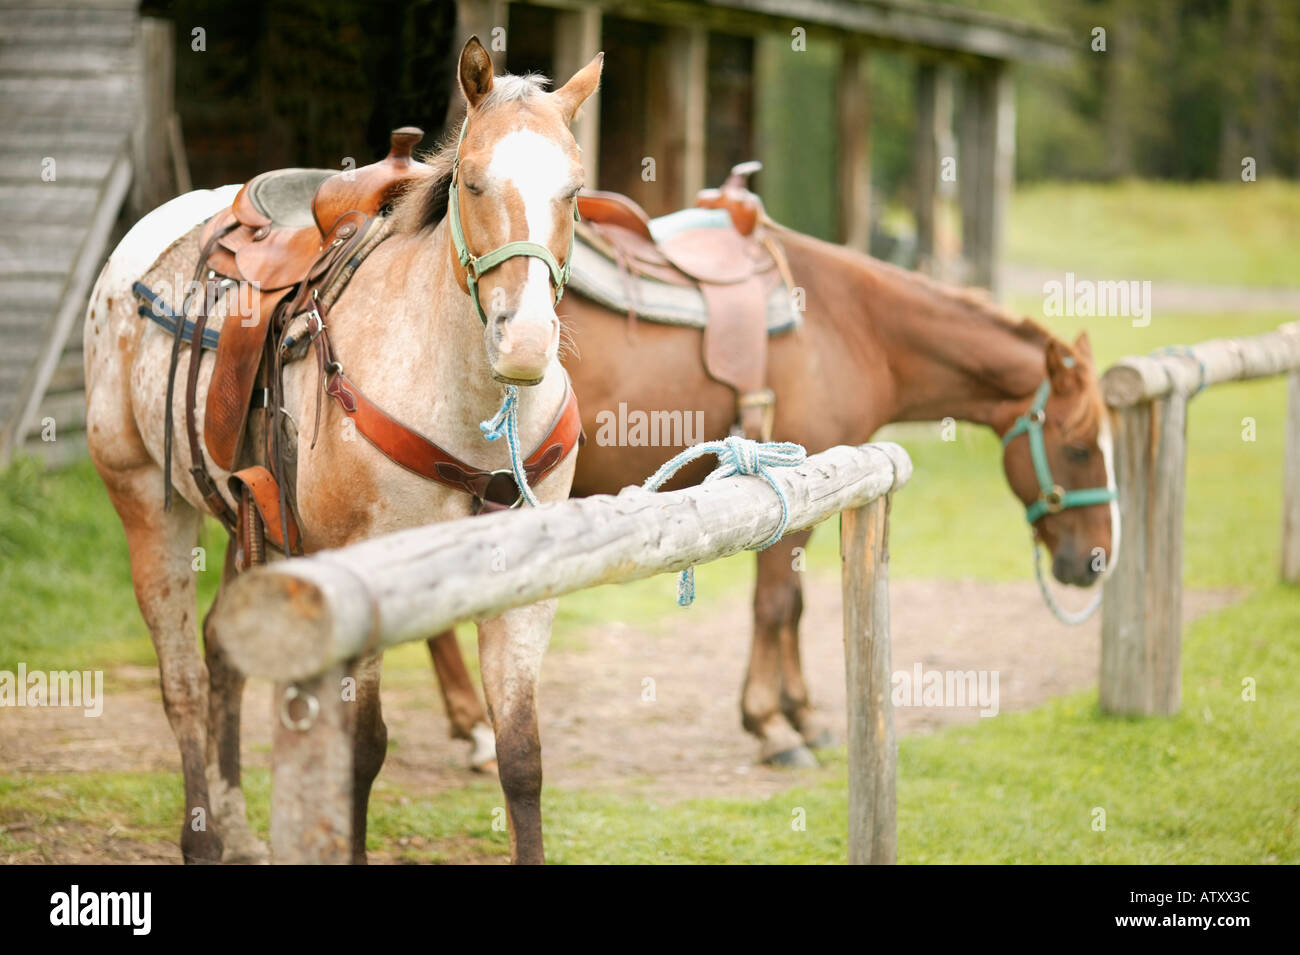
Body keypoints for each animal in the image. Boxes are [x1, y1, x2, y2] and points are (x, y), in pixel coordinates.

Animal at [83, 37, 600, 862]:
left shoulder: (527, 587)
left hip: (253, 527)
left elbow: (521, 752)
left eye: (575, 192)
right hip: (145, 504)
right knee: (183, 679)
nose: (523, 342)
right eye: (473, 181)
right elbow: (362, 749)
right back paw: (203, 834)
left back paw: (237, 825)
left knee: (221, 651)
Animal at [423, 218, 1118, 769]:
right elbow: (777, 606)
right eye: (1081, 448)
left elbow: (798, 607)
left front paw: (801, 713)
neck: (848, 325)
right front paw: (773, 725)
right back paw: (475, 730)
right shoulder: (785, 495)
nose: (1096, 561)